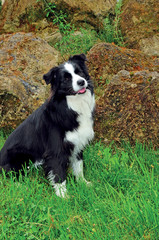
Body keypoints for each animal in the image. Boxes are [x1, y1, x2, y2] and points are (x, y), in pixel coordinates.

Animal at [0, 54, 94, 197]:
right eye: (66, 78)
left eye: (79, 72)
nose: (81, 82)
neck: (70, 105)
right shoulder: (55, 150)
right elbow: (59, 175)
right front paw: (63, 196)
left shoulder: (77, 142)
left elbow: (79, 167)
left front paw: (83, 184)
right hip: (19, 157)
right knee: (11, 175)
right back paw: (22, 187)